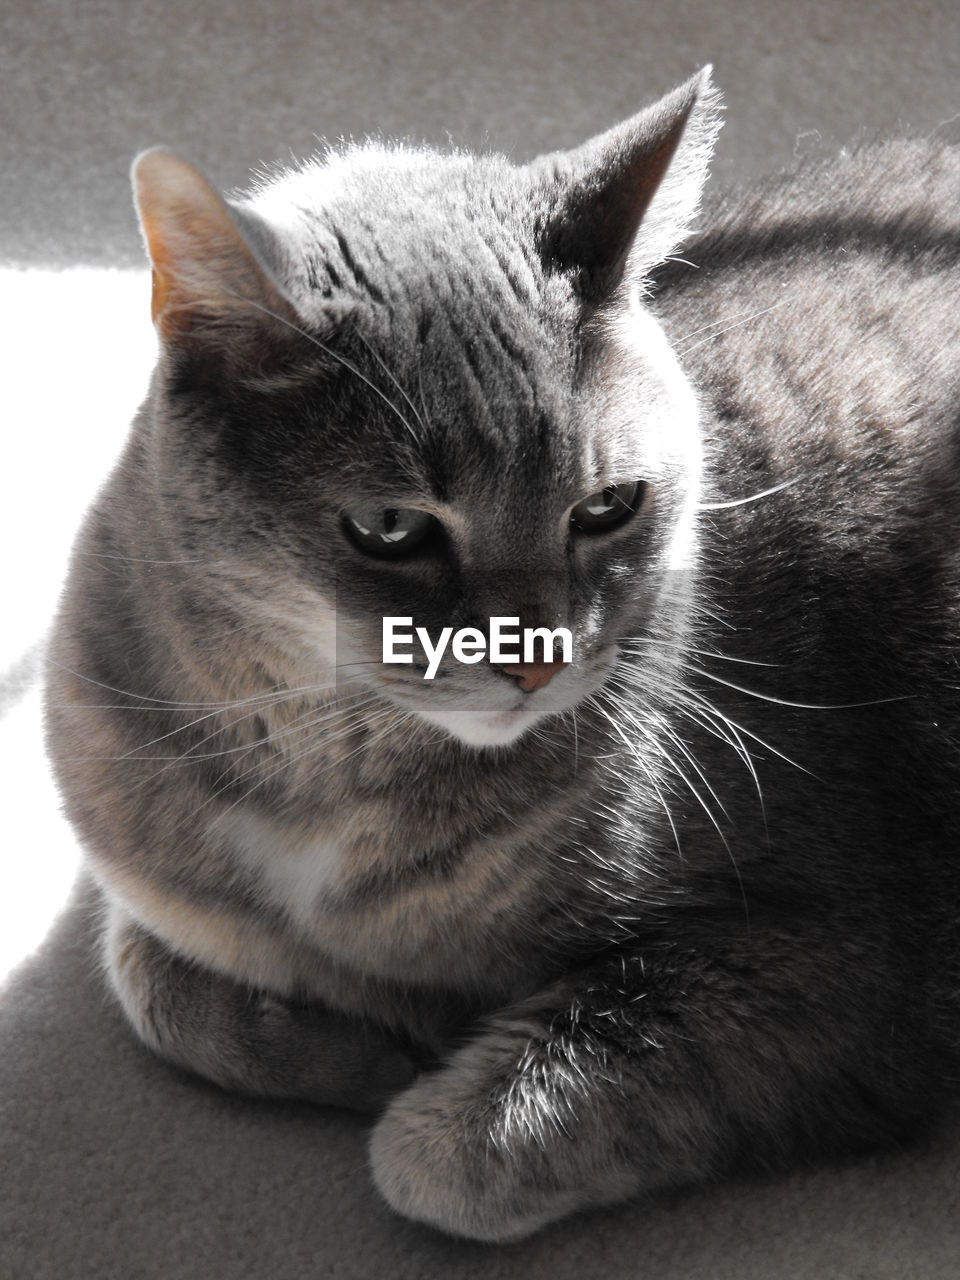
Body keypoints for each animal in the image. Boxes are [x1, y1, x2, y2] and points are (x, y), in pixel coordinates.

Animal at [45, 67, 960, 1239]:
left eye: (609, 506)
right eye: (393, 528)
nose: (537, 659)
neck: (324, 777)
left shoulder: (833, 959)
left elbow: (440, 1156)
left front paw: (414, 1062)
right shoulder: (150, 876)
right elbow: (148, 977)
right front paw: (363, 1042)